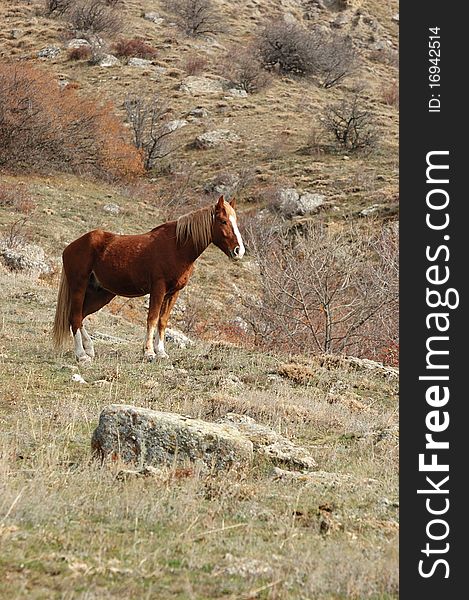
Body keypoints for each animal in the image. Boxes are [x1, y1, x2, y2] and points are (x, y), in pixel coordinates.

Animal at [53, 197, 245, 364]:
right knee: (75, 317)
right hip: (79, 287)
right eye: (223, 221)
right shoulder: (158, 289)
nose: (239, 251)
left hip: (101, 294)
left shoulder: (173, 293)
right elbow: (152, 318)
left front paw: (161, 352)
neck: (177, 247)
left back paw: (89, 349)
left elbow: (162, 321)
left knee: (80, 316)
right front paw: (149, 352)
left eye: (235, 221)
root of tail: (70, 247)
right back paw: (82, 355)